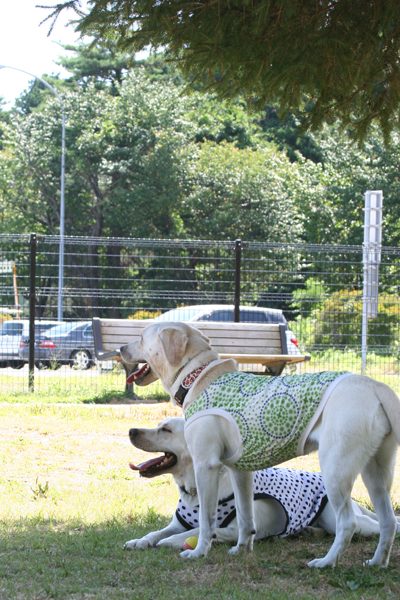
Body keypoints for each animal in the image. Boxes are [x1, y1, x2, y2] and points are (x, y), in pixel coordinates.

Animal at [119, 324, 400, 568]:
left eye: (141, 337)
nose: (120, 347)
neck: (198, 378)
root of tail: (375, 385)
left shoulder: (206, 466)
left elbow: (207, 523)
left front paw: (198, 552)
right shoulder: (239, 471)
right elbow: (246, 518)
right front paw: (242, 549)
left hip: (336, 470)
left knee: (349, 523)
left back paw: (326, 562)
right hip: (376, 473)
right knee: (389, 522)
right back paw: (377, 562)